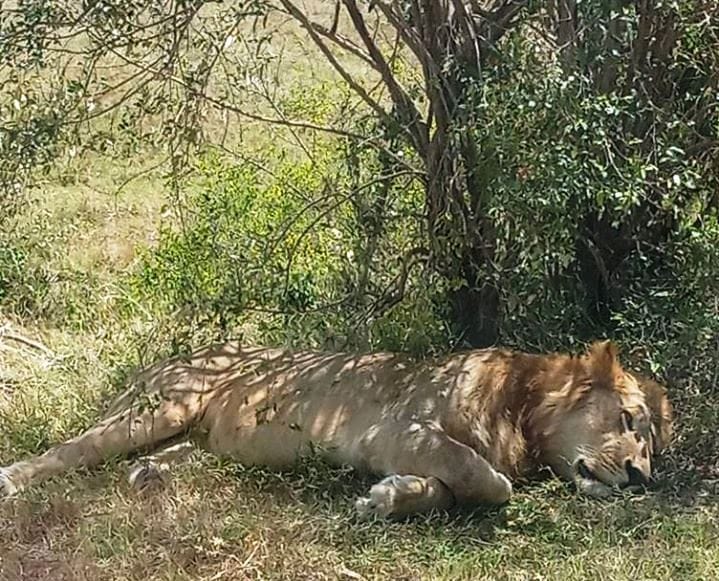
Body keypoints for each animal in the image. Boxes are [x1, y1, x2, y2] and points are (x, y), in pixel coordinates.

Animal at [0, 340, 672, 518]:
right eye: (627, 420)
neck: (524, 411)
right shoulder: (400, 429)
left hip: (200, 440)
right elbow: (489, 482)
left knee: (164, 458)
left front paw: (389, 498)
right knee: (66, 451)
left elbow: (455, 488)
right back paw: (12, 479)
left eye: (652, 445)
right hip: (161, 408)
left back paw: (148, 477)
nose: (641, 476)